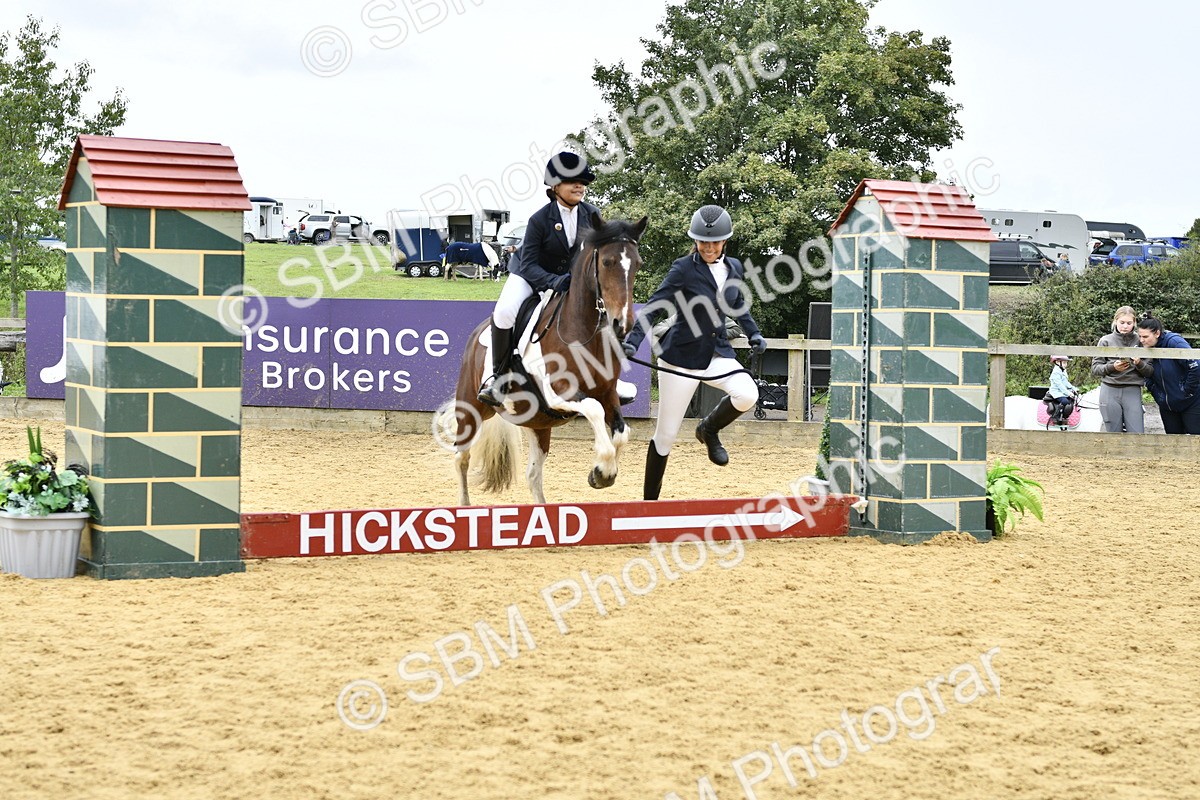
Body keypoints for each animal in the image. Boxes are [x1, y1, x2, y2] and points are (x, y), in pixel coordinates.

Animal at [441, 213, 648, 505]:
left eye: (638, 264)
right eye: (607, 262)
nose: (622, 324)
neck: (583, 332)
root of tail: (476, 334)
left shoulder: (608, 393)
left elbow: (621, 433)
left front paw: (601, 473)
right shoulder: (558, 392)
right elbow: (594, 408)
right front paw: (603, 470)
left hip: (537, 422)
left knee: (533, 475)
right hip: (471, 407)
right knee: (461, 458)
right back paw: (464, 506)